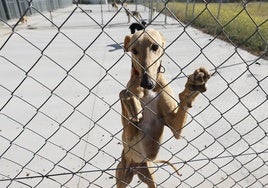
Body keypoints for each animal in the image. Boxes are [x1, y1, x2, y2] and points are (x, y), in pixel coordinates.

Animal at [116, 28, 210, 188]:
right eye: (134, 50)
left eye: (155, 47)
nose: (147, 83)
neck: (148, 91)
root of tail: (136, 166)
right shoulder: (129, 135)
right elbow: (123, 92)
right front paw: (132, 102)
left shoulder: (176, 128)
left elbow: (182, 107)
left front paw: (193, 87)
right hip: (122, 176)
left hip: (150, 177)